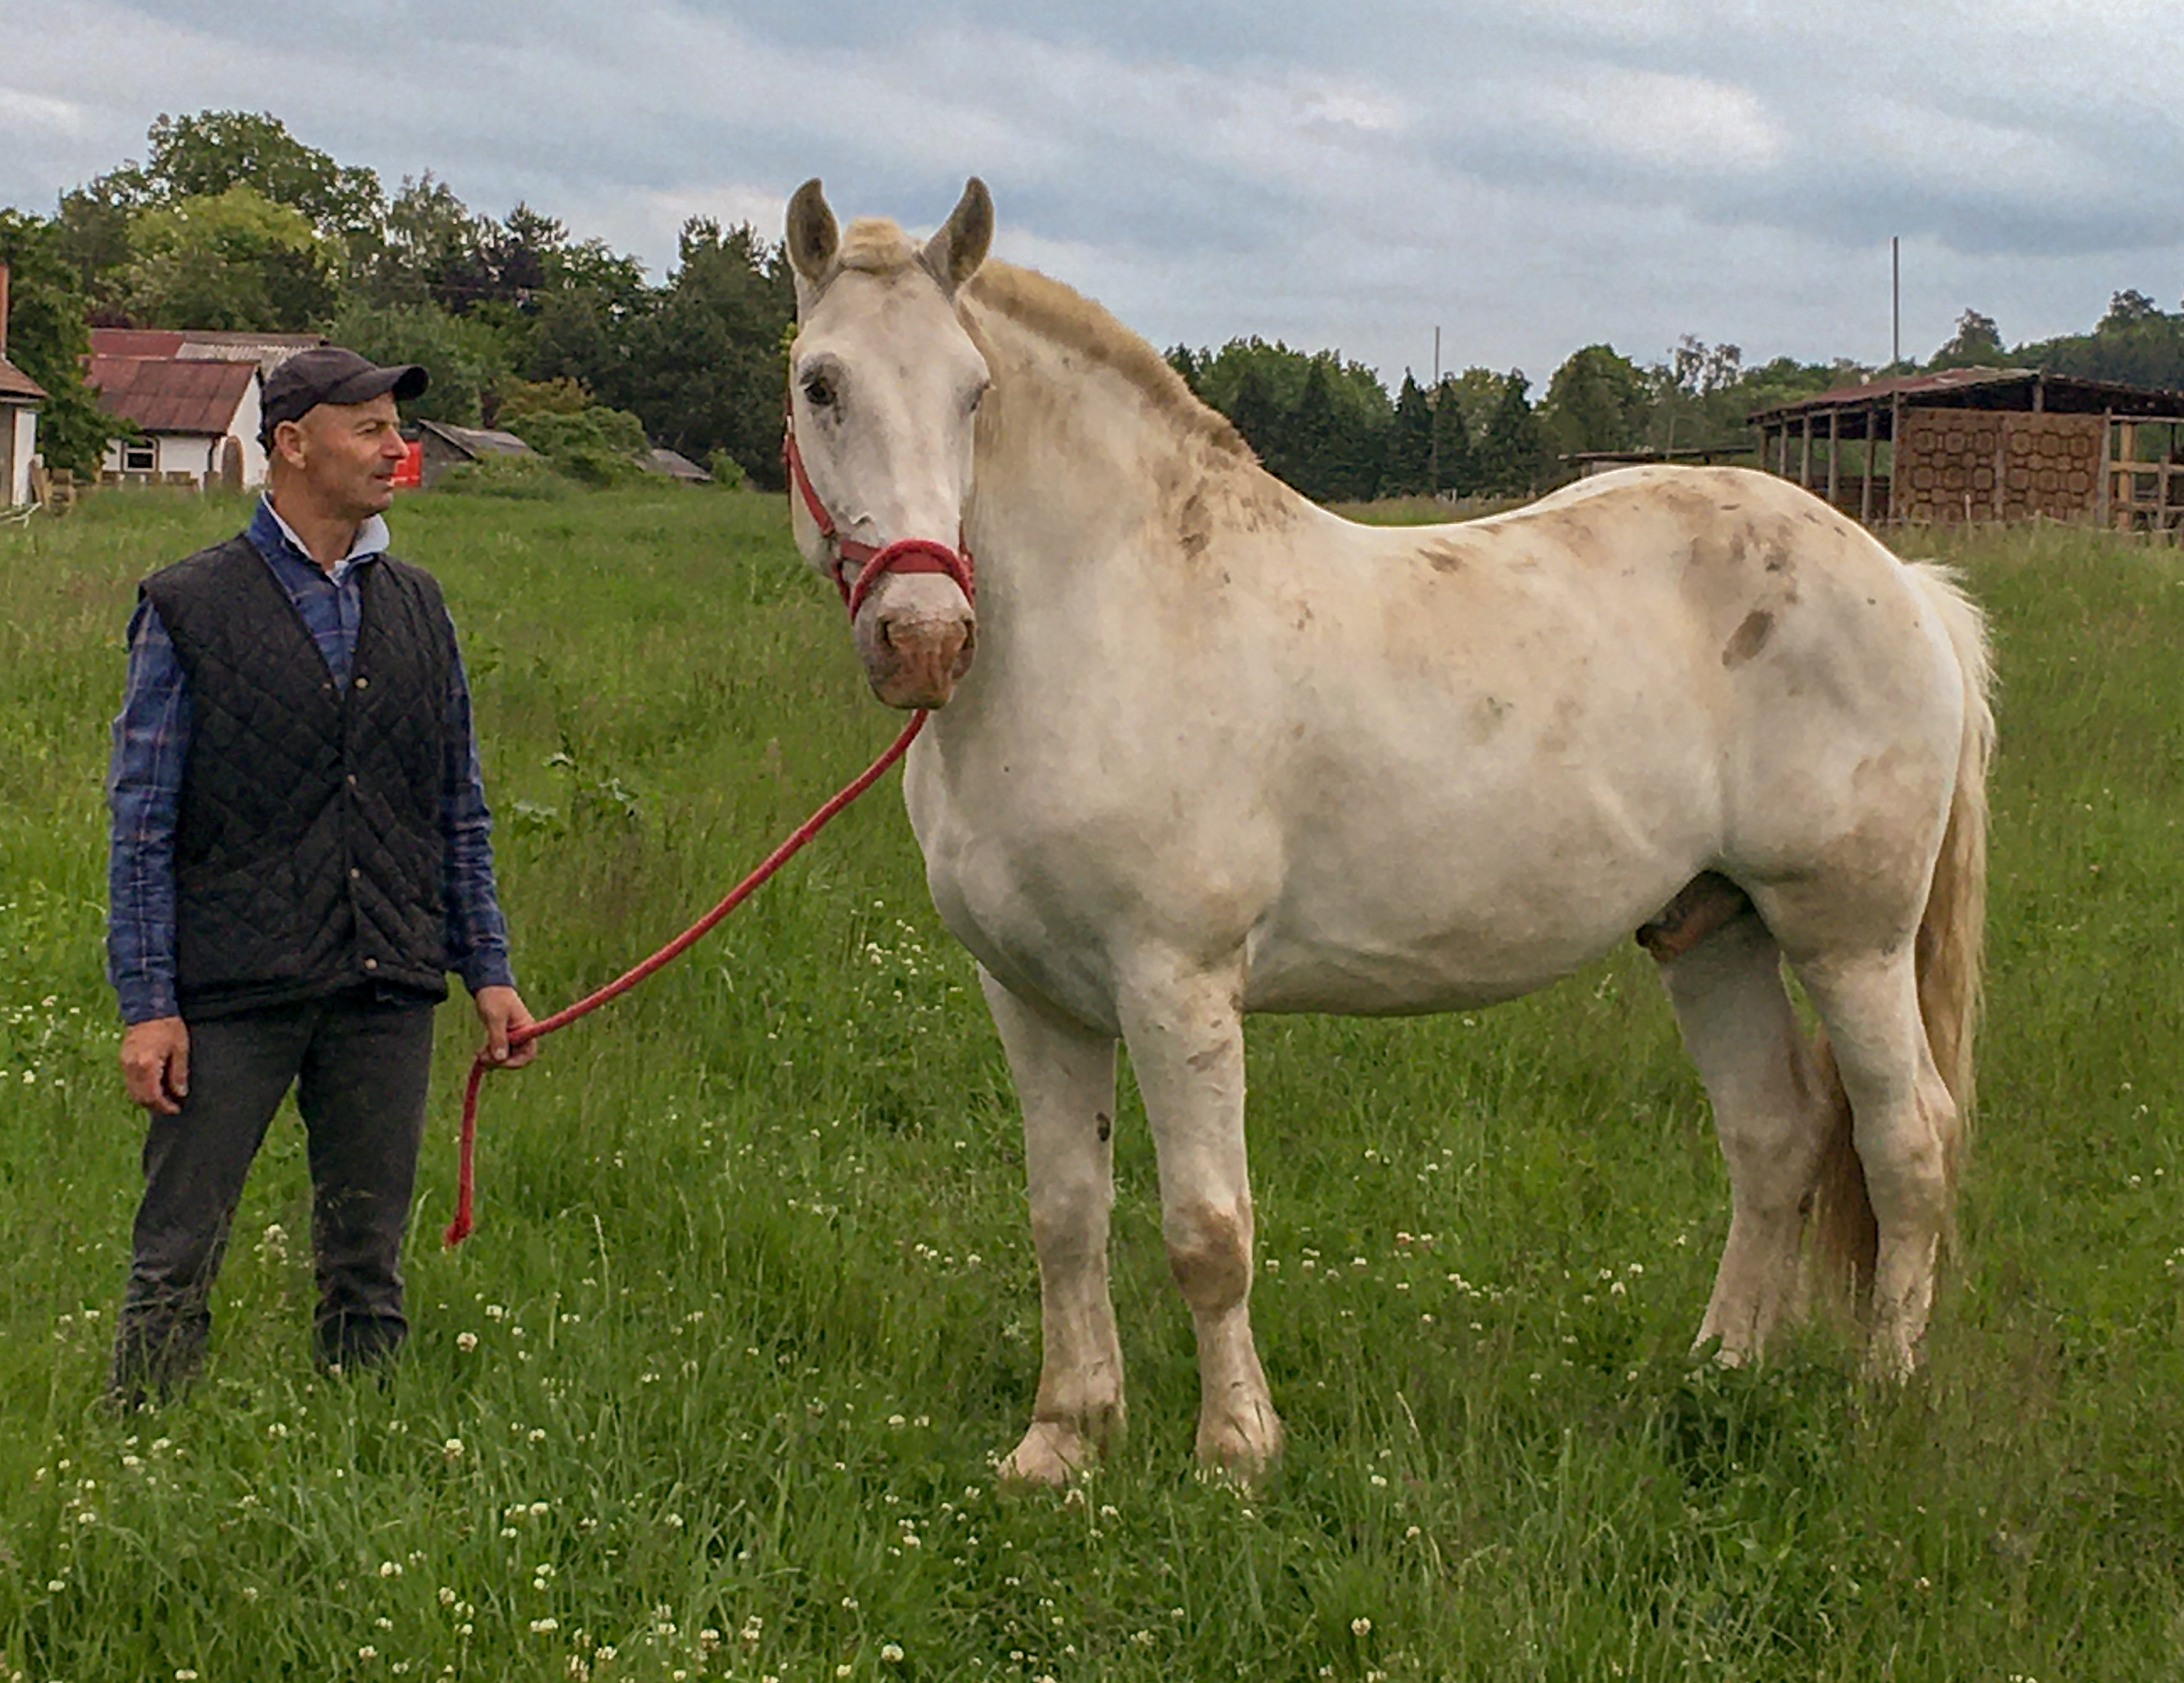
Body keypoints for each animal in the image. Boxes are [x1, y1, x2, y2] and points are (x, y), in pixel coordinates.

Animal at [777, 174, 1991, 1486]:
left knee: (1908, 1141)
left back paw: (1881, 1391)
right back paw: (1717, 1368)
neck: (1114, 618)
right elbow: (1064, 1216)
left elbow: (1207, 1230)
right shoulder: (1033, 995)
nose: (923, 637)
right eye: (820, 382)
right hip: (1711, 930)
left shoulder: (1176, 986)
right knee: (1774, 1136)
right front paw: (1063, 1438)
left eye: (973, 390)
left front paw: (1235, 1451)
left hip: (1848, 940)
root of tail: (1905, 584)